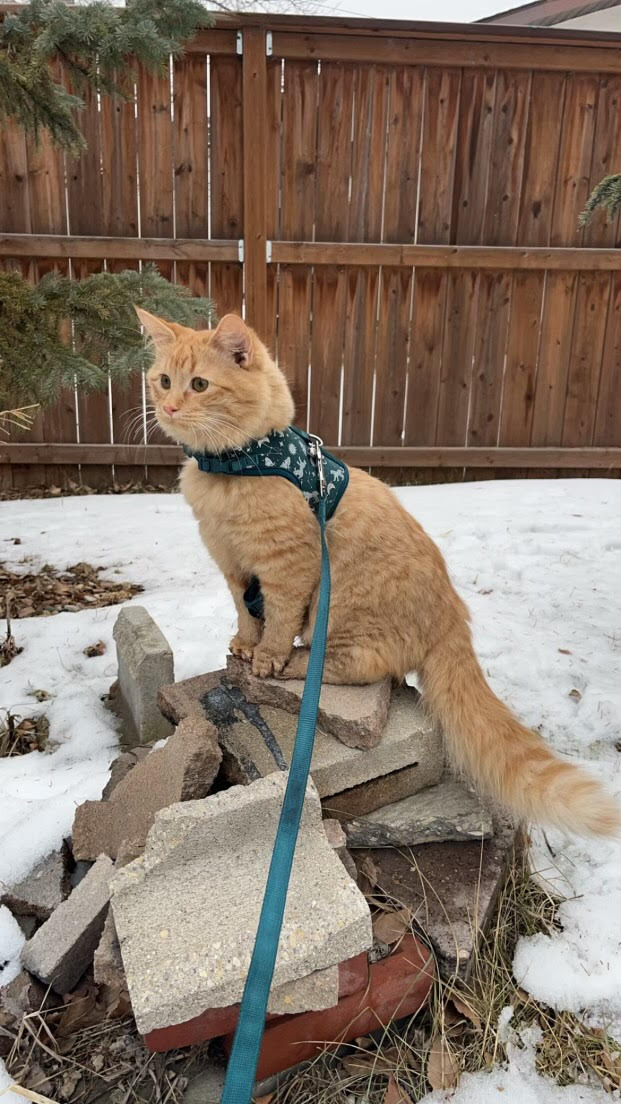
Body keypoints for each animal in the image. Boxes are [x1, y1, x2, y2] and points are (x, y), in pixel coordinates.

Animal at [137, 307, 619, 838]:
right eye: (163, 381)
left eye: (200, 384)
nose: (170, 407)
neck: (237, 466)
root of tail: (455, 616)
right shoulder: (235, 568)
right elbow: (246, 613)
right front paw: (244, 644)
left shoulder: (286, 568)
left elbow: (278, 621)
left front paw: (265, 658)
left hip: (340, 615)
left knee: (358, 668)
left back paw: (296, 662)